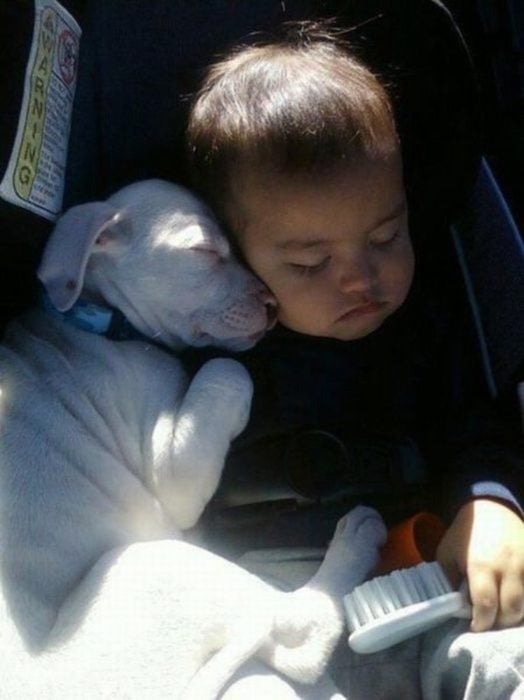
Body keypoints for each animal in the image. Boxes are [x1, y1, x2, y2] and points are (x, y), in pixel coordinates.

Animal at [0, 179, 384, 696]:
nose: (273, 308)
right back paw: (355, 545)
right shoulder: (174, 479)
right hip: (151, 566)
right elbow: (226, 367)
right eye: (203, 250)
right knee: (299, 640)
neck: (96, 320)